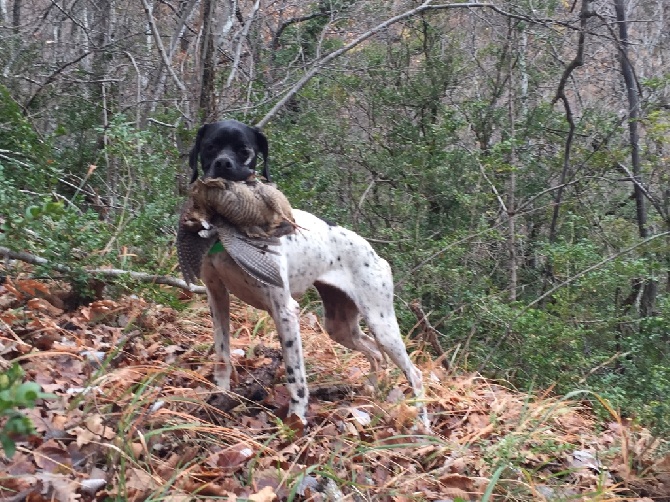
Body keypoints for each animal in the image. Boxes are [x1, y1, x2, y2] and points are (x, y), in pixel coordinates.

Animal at [188, 118, 430, 428]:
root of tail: (377, 255)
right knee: (375, 354)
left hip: (382, 324)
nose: (222, 165)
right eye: (210, 147)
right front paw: (219, 397)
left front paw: (296, 420)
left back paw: (422, 423)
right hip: (340, 326)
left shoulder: (285, 312)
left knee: (415, 373)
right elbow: (222, 355)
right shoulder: (217, 296)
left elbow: (296, 377)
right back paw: (371, 392)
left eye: (244, 150)